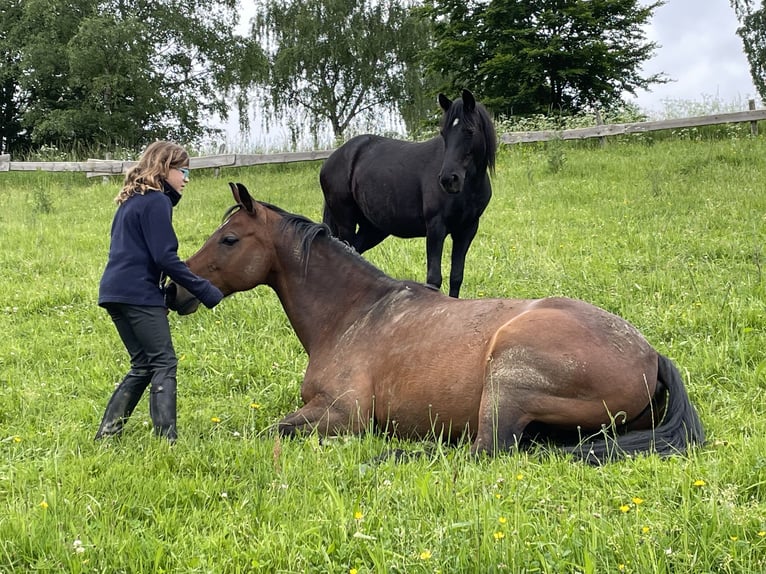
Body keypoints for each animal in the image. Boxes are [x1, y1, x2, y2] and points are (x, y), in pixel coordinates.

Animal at [168, 186, 708, 468]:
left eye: (230, 239)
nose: (174, 291)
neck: (352, 314)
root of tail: (651, 356)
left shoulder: (344, 415)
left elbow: (273, 430)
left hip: (506, 380)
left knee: (484, 451)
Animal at [318, 90, 498, 300]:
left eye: (469, 131)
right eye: (443, 133)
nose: (448, 179)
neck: (469, 187)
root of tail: (333, 158)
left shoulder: (466, 230)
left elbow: (456, 276)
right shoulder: (436, 227)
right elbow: (434, 279)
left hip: (373, 228)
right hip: (346, 222)